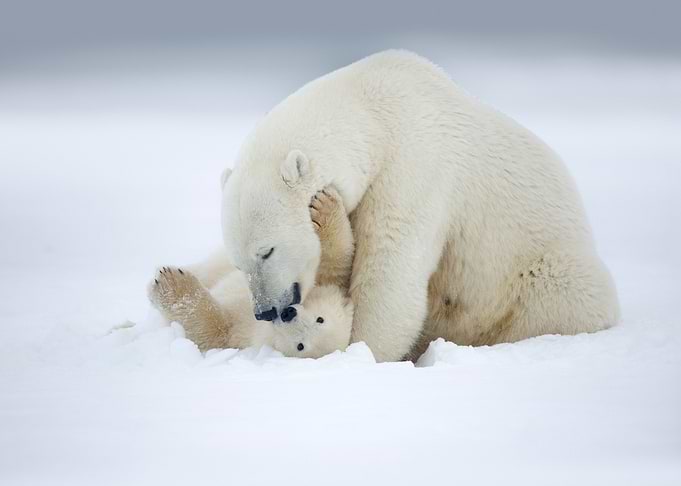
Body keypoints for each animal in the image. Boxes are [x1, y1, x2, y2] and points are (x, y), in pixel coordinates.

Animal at [148, 188, 355, 358]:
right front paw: (323, 205)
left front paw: (170, 283)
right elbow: (334, 261)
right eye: (320, 319)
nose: (288, 313)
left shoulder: (240, 334)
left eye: (301, 346)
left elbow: (213, 330)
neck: (262, 326)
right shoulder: (321, 279)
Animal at [208, 49, 620, 362]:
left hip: (542, 271)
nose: (265, 310)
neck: (373, 112)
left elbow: (390, 270)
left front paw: (361, 351)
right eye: (240, 262)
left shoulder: (413, 167)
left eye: (267, 250)